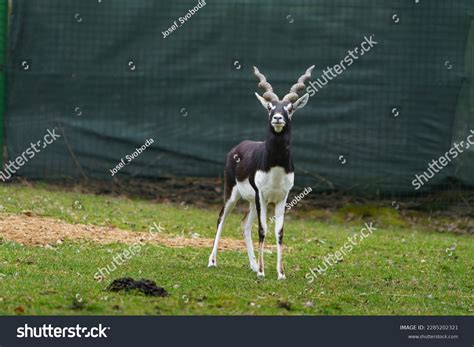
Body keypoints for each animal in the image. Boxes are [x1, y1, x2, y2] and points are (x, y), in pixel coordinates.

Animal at [208, 66, 314, 282]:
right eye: (270, 107)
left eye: (290, 108)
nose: (278, 118)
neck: (275, 167)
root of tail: (238, 147)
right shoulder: (262, 196)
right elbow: (263, 229)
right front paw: (262, 272)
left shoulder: (282, 197)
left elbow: (279, 231)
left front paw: (280, 273)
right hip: (233, 194)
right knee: (221, 218)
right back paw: (212, 262)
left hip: (251, 201)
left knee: (244, 225)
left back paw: (252, 264)